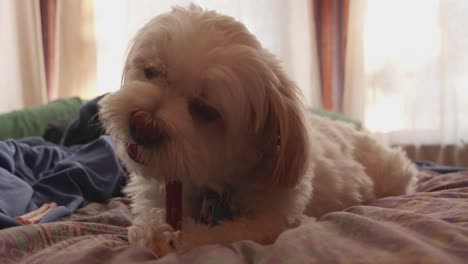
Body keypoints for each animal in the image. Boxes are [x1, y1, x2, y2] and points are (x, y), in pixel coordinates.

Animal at [98, 4, 416, 258]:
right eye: (151, 70)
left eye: (205, 109)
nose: (141, 125)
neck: (211, 182)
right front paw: (153, 230)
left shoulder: (278, 220)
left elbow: (222, 233)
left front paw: (174, 238)